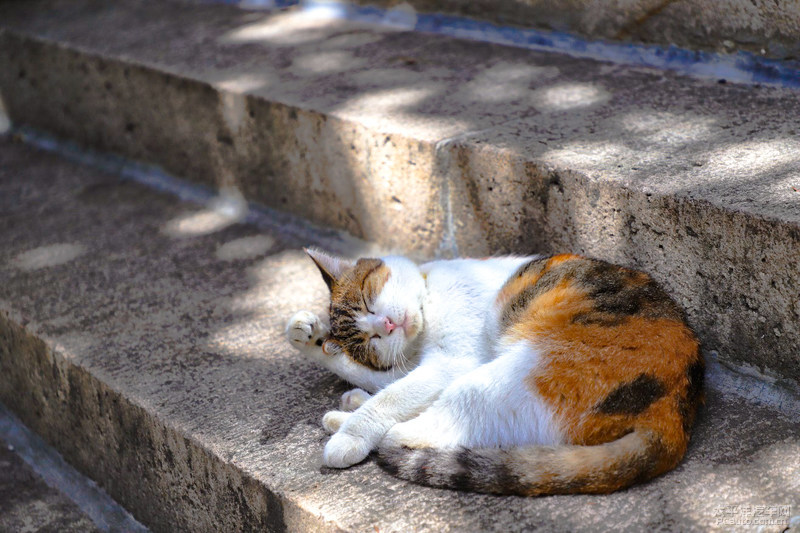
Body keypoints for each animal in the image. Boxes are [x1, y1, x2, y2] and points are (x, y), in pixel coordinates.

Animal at [286, 248, 700, 494]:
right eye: (369, 341)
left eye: (370, 300)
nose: (387, 325)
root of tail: (673, 415)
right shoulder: (416, 362)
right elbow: (384, 379)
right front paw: (311, 338)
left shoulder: (452, 362)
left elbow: (393, 397)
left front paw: (353, 432)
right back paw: (348, 407)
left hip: (495, 381)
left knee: (409, 433)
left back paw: (345, 425)